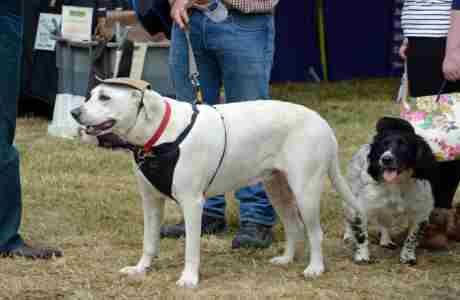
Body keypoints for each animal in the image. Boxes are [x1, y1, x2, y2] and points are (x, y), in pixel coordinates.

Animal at [71, 78, 362, 288]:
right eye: (90, 95)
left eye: (105, 97)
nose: (74, 112)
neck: (160, 136)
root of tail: (321, 120)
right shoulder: (151, 202)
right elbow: (149, 242)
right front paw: (141, 268)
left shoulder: (192, 204)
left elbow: (191, 248)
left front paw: (189, 278)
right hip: (277, 189)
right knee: (294, 226)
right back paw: (286, 259)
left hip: (305, 192)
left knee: (315, 232)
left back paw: (315, 268)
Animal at [344, 117, 436, 264]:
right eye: (383, 145)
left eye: (403, 145)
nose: (386, 159)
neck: (396, 184)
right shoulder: (360, 207)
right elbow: (361, 235)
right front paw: (362, 255)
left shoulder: (422, 212)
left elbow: (412, 237)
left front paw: (407, 256)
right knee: (347, 218)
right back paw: (348, 235)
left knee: (384, 223)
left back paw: (386, 240)